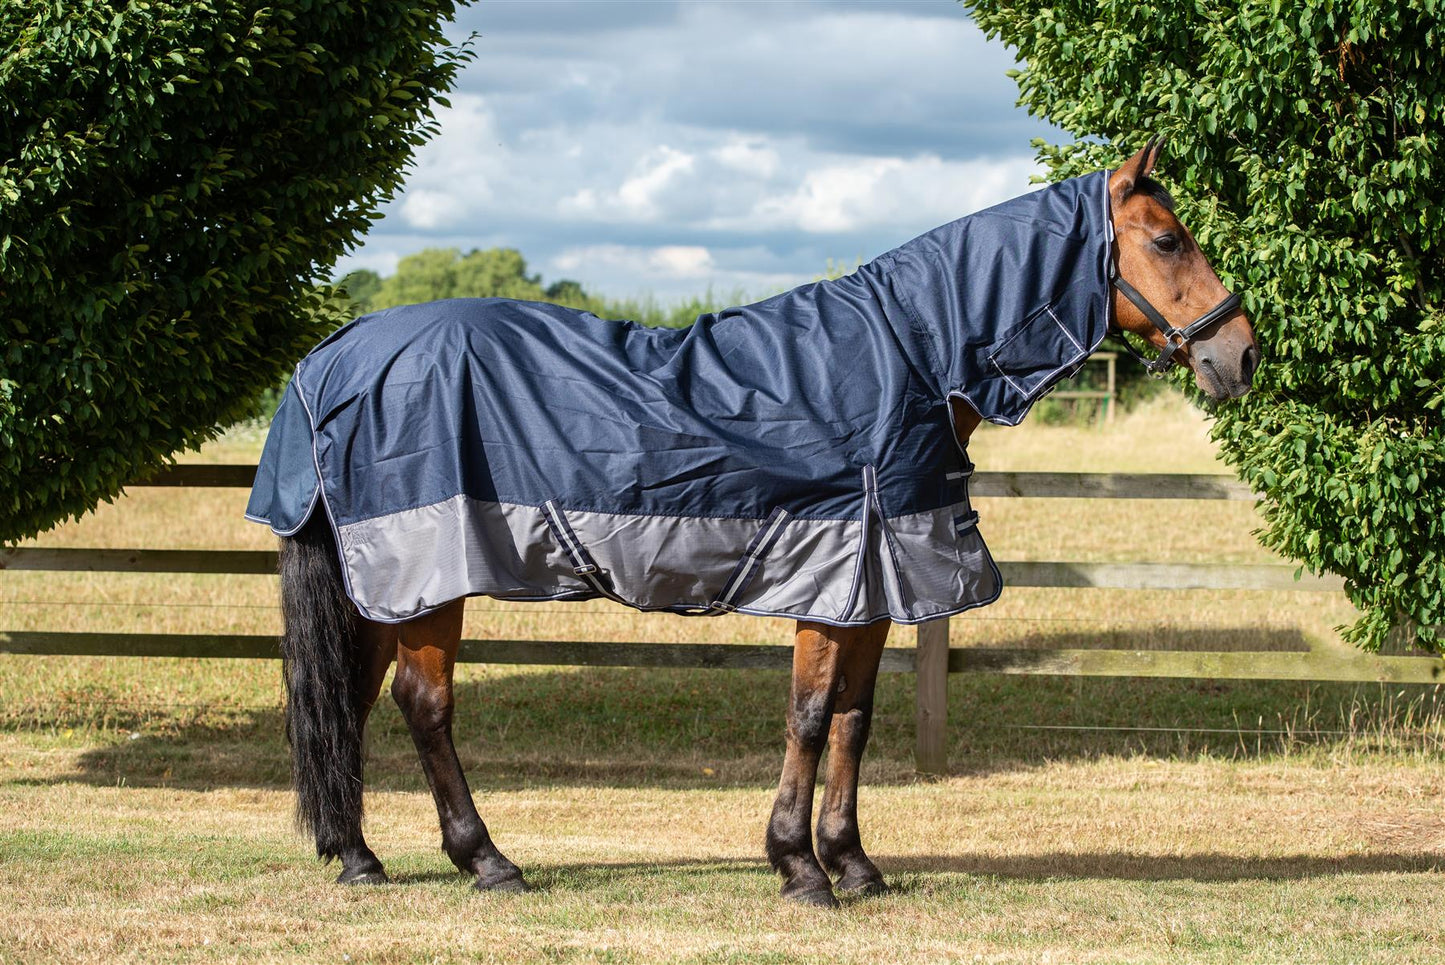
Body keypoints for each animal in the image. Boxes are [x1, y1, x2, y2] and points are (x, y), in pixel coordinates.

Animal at [250, 138, 1259, 907]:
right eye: (1167, 238)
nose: (1239, 354)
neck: (907, 360)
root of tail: (337, 353)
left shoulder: (875, 584)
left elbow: (853, 718)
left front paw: (854, 864)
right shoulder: (835, 575)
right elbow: (808, 718)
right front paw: (798, 868)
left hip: (384, 585)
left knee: (350, 693)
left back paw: (357, 855)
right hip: (428, 577)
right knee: (423, 704)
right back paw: (486, 859)